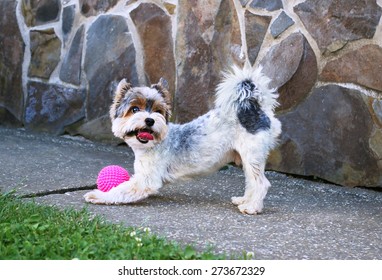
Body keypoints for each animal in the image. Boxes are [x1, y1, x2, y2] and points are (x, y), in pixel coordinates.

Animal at [85, 65, 282, 214]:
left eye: (157, 111)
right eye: (134, 109)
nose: (150, 120)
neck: (155, 143)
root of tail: (255, 109)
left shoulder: (145, 181)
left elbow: (120, 190)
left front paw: (98, 195)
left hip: (252, 155)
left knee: (261, 183)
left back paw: (252, 207)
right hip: (247, 158)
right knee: (252, 182)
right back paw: (244, 200)